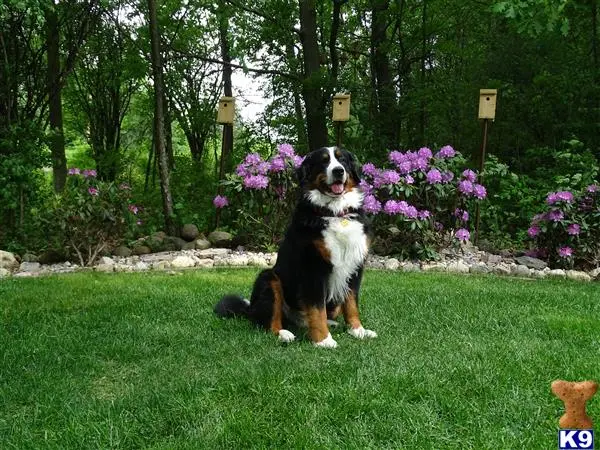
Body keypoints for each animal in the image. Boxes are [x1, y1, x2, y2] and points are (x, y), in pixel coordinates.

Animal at [213, 147, 378, 348]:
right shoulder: (313, 269)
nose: (338, 171)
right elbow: (316, 308)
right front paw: (324, 340)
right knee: (268, 321)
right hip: (269, 278)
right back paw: (283, 333)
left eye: (343, 160)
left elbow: (352, 303)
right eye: (324, 161)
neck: (335, 213)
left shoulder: (354, 266)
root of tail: (250, 308)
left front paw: (358, 330)